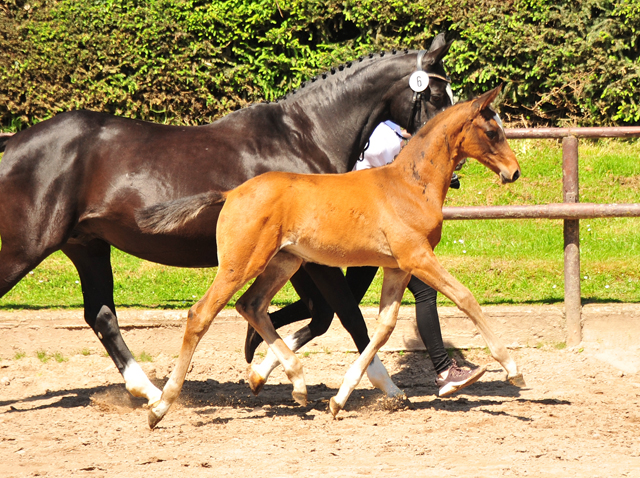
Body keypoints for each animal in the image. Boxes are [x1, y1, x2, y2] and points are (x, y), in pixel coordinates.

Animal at [138, 84, 524, 428]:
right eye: (492, 132)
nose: (514, 171)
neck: (410, 186)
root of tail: (230, 193)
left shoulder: (398, 267)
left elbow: (382, 327)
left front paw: (339, 400)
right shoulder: (417, 257)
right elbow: (464, 297)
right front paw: (512, 369)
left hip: (284, 261)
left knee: (251, 305)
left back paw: (293, 382)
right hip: (240, 263)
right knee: (200, 314)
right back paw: (160, 407)